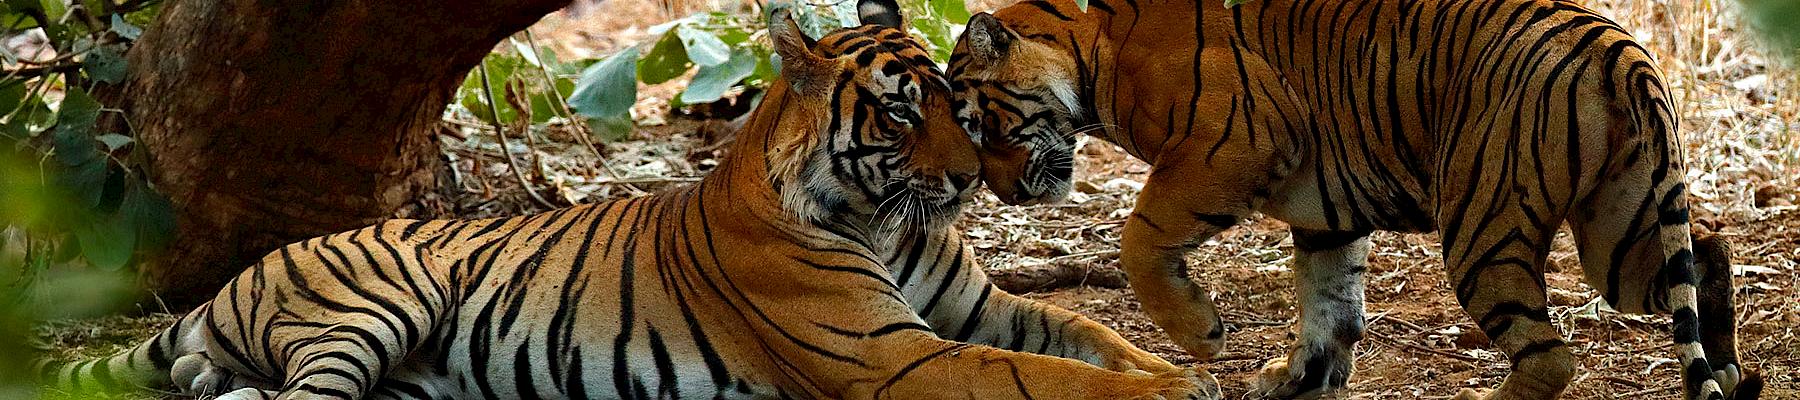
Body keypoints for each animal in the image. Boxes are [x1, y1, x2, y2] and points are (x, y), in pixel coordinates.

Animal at [38, 3, 1224, 400]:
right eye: (898, 115)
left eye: (954, 103)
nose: (972, 183)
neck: (884, 219)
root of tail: (234, 280)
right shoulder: (898, 355)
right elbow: (1043, 375)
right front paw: (1168, 391)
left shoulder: (981, 309)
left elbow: (1081, 332)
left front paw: (1178, 365)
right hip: (373, 303)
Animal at [950, 0, 1764, 400]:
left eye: (978, 122)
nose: (1002, 192)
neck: (1092, 49)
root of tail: (1614, 43)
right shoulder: (1326, 213)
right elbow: (1328, 308)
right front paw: (1294, 381)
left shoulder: (1233, 141)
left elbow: (1139, 239)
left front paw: (1204, 336)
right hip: (1618, 228)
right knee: (1706, 251)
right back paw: (1729, 373)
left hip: (1483, 224)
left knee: (1553, 358)